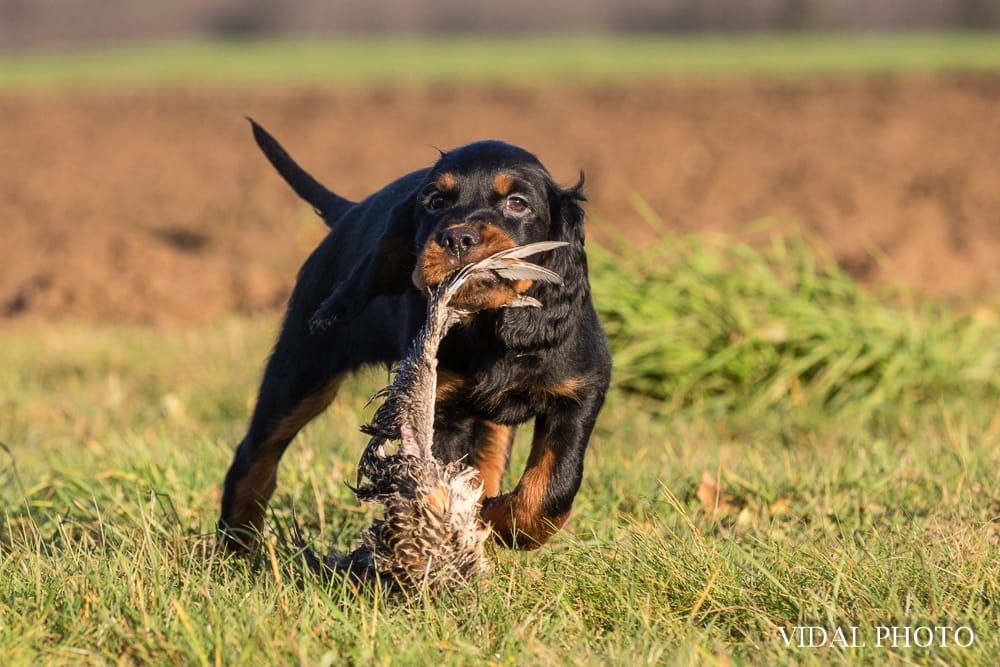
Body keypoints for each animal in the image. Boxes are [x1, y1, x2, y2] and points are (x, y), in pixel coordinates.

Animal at [219, 118, 608, 552]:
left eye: (517, 203)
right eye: (435, 201)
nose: (458, 238)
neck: (488, 327)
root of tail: (350, 211)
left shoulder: (581, 391)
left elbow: (554, 486)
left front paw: (497, 521)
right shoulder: (437, 408)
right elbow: (447, 479)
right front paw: (473, 524)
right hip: (301, 370)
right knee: (256, 452)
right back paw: (238, 545)